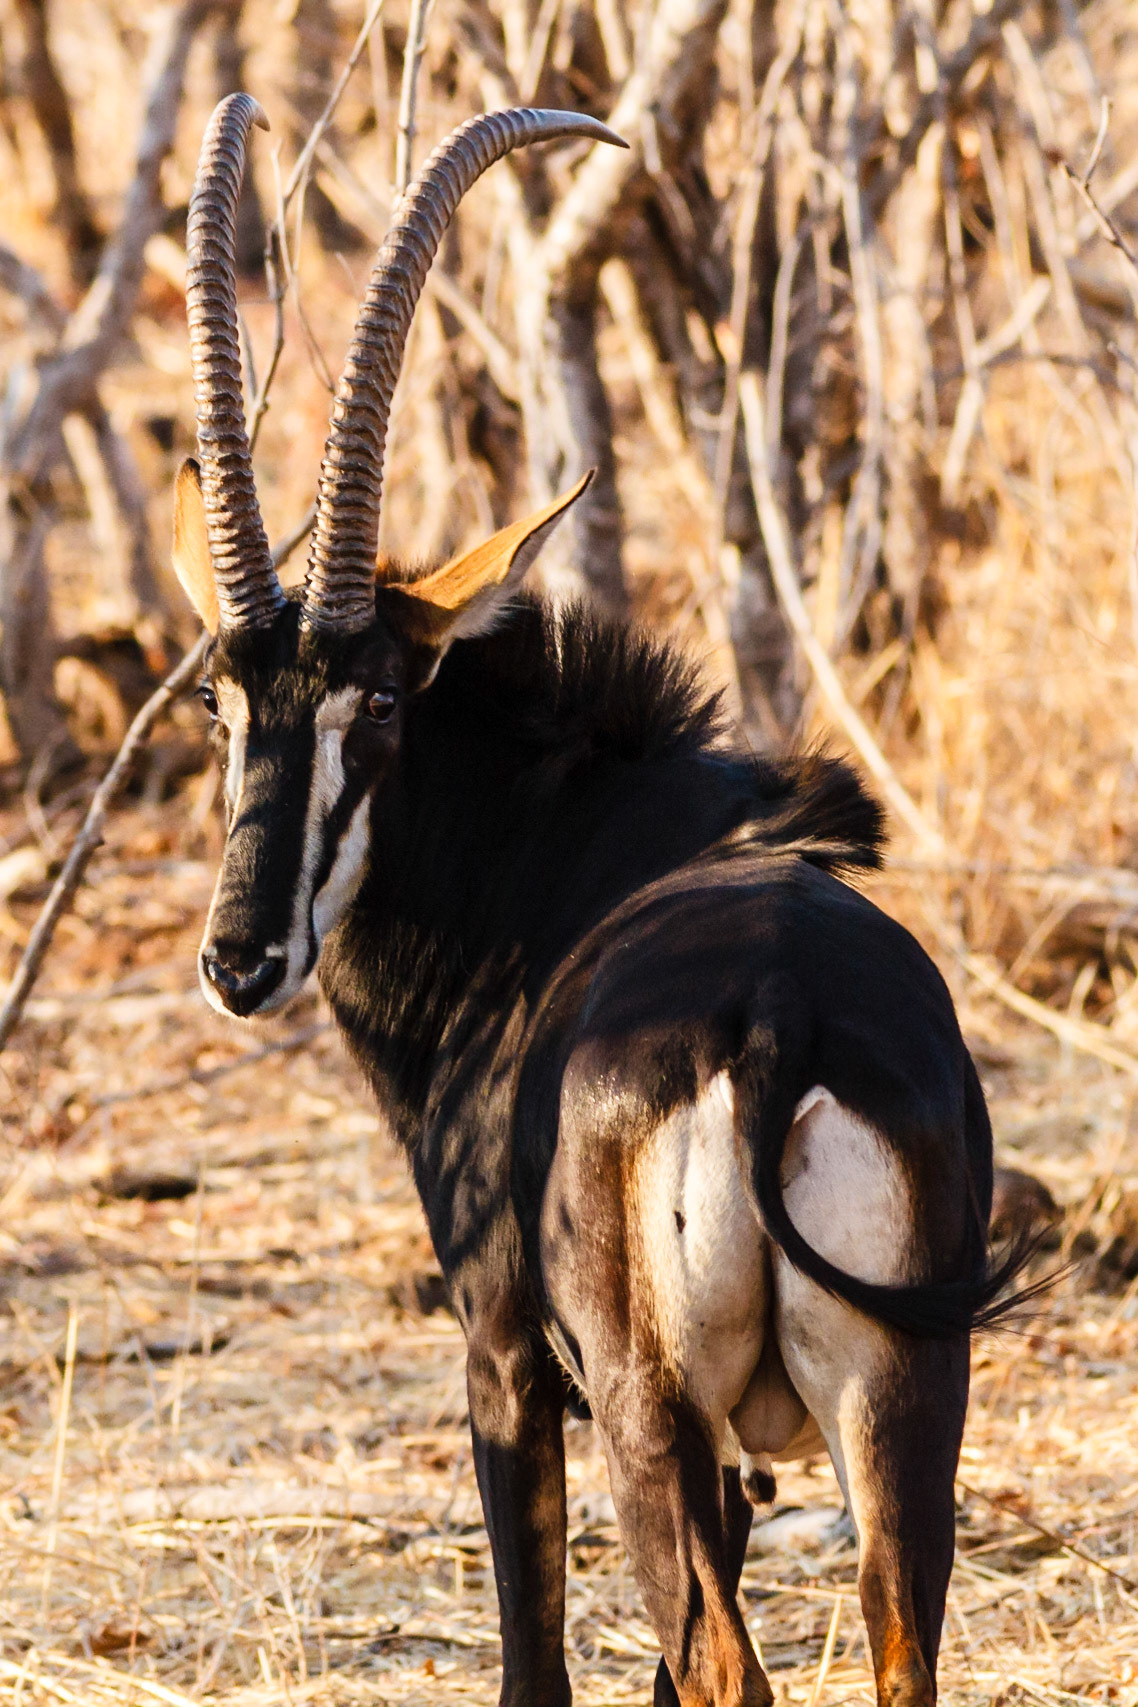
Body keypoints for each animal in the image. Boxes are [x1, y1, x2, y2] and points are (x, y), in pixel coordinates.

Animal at [173, 95, 1023, 1707]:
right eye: (220, 701)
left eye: (382, 699)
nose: (242, 959)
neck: (566, 854)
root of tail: (773, 1017)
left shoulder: (504, 1355)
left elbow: (539, 1662)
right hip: (902, 1399)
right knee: (897, 1647)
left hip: (642, 1403)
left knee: (721, 1663)